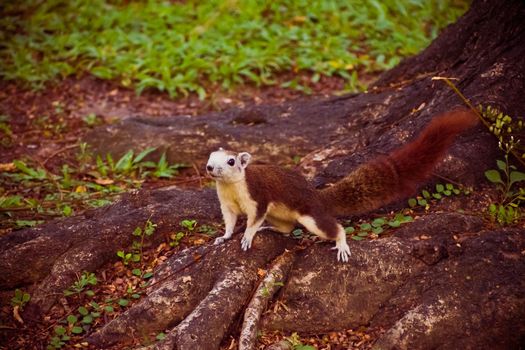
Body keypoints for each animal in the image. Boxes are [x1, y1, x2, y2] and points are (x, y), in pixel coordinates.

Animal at [207, 110, 476, 262]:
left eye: (231, 161)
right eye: (210, 156)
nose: (210, 168)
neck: (230, 188)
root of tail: (318, 197)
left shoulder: (258, 197)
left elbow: (253, 219)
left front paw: (247, 236)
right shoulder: (226, 205)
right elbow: (229, 222)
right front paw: (225, 236)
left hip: (310, 217)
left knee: (333, 227)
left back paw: (341, 244)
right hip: (282, 215)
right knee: (286, 229)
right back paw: (270, 229)